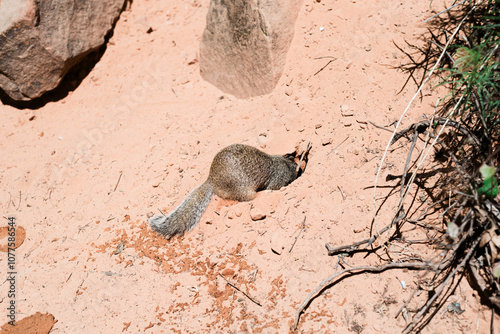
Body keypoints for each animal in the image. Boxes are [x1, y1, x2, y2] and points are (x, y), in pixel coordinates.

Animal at [148, 143, 296, 237]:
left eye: (294, 162)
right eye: (294, 168)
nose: (298, 167)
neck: (282, 164)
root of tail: (212, 180)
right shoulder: (277, 180)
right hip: (241, 188)